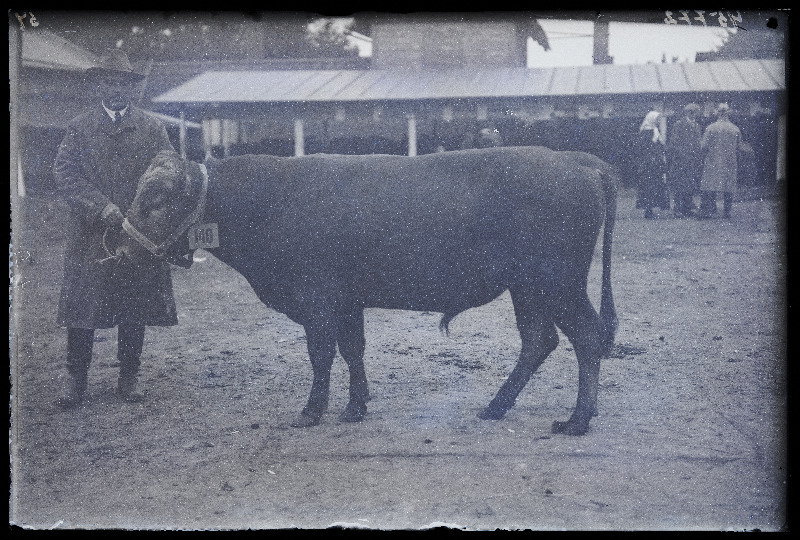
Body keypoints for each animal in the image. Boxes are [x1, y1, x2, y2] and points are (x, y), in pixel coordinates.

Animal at [114, 147, 620, 434]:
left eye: (156, 199)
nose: (121, 249)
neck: (269, 200)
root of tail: (579, 160)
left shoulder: (317, 302)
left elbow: (321, 354)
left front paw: (311, 411)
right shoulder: (346, 303)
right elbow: (351, 349)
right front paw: (355, 406)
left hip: (557, 284)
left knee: (586, 336)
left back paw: (578, 420)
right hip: (529, 289)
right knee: (539, 339)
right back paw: (496, 407)